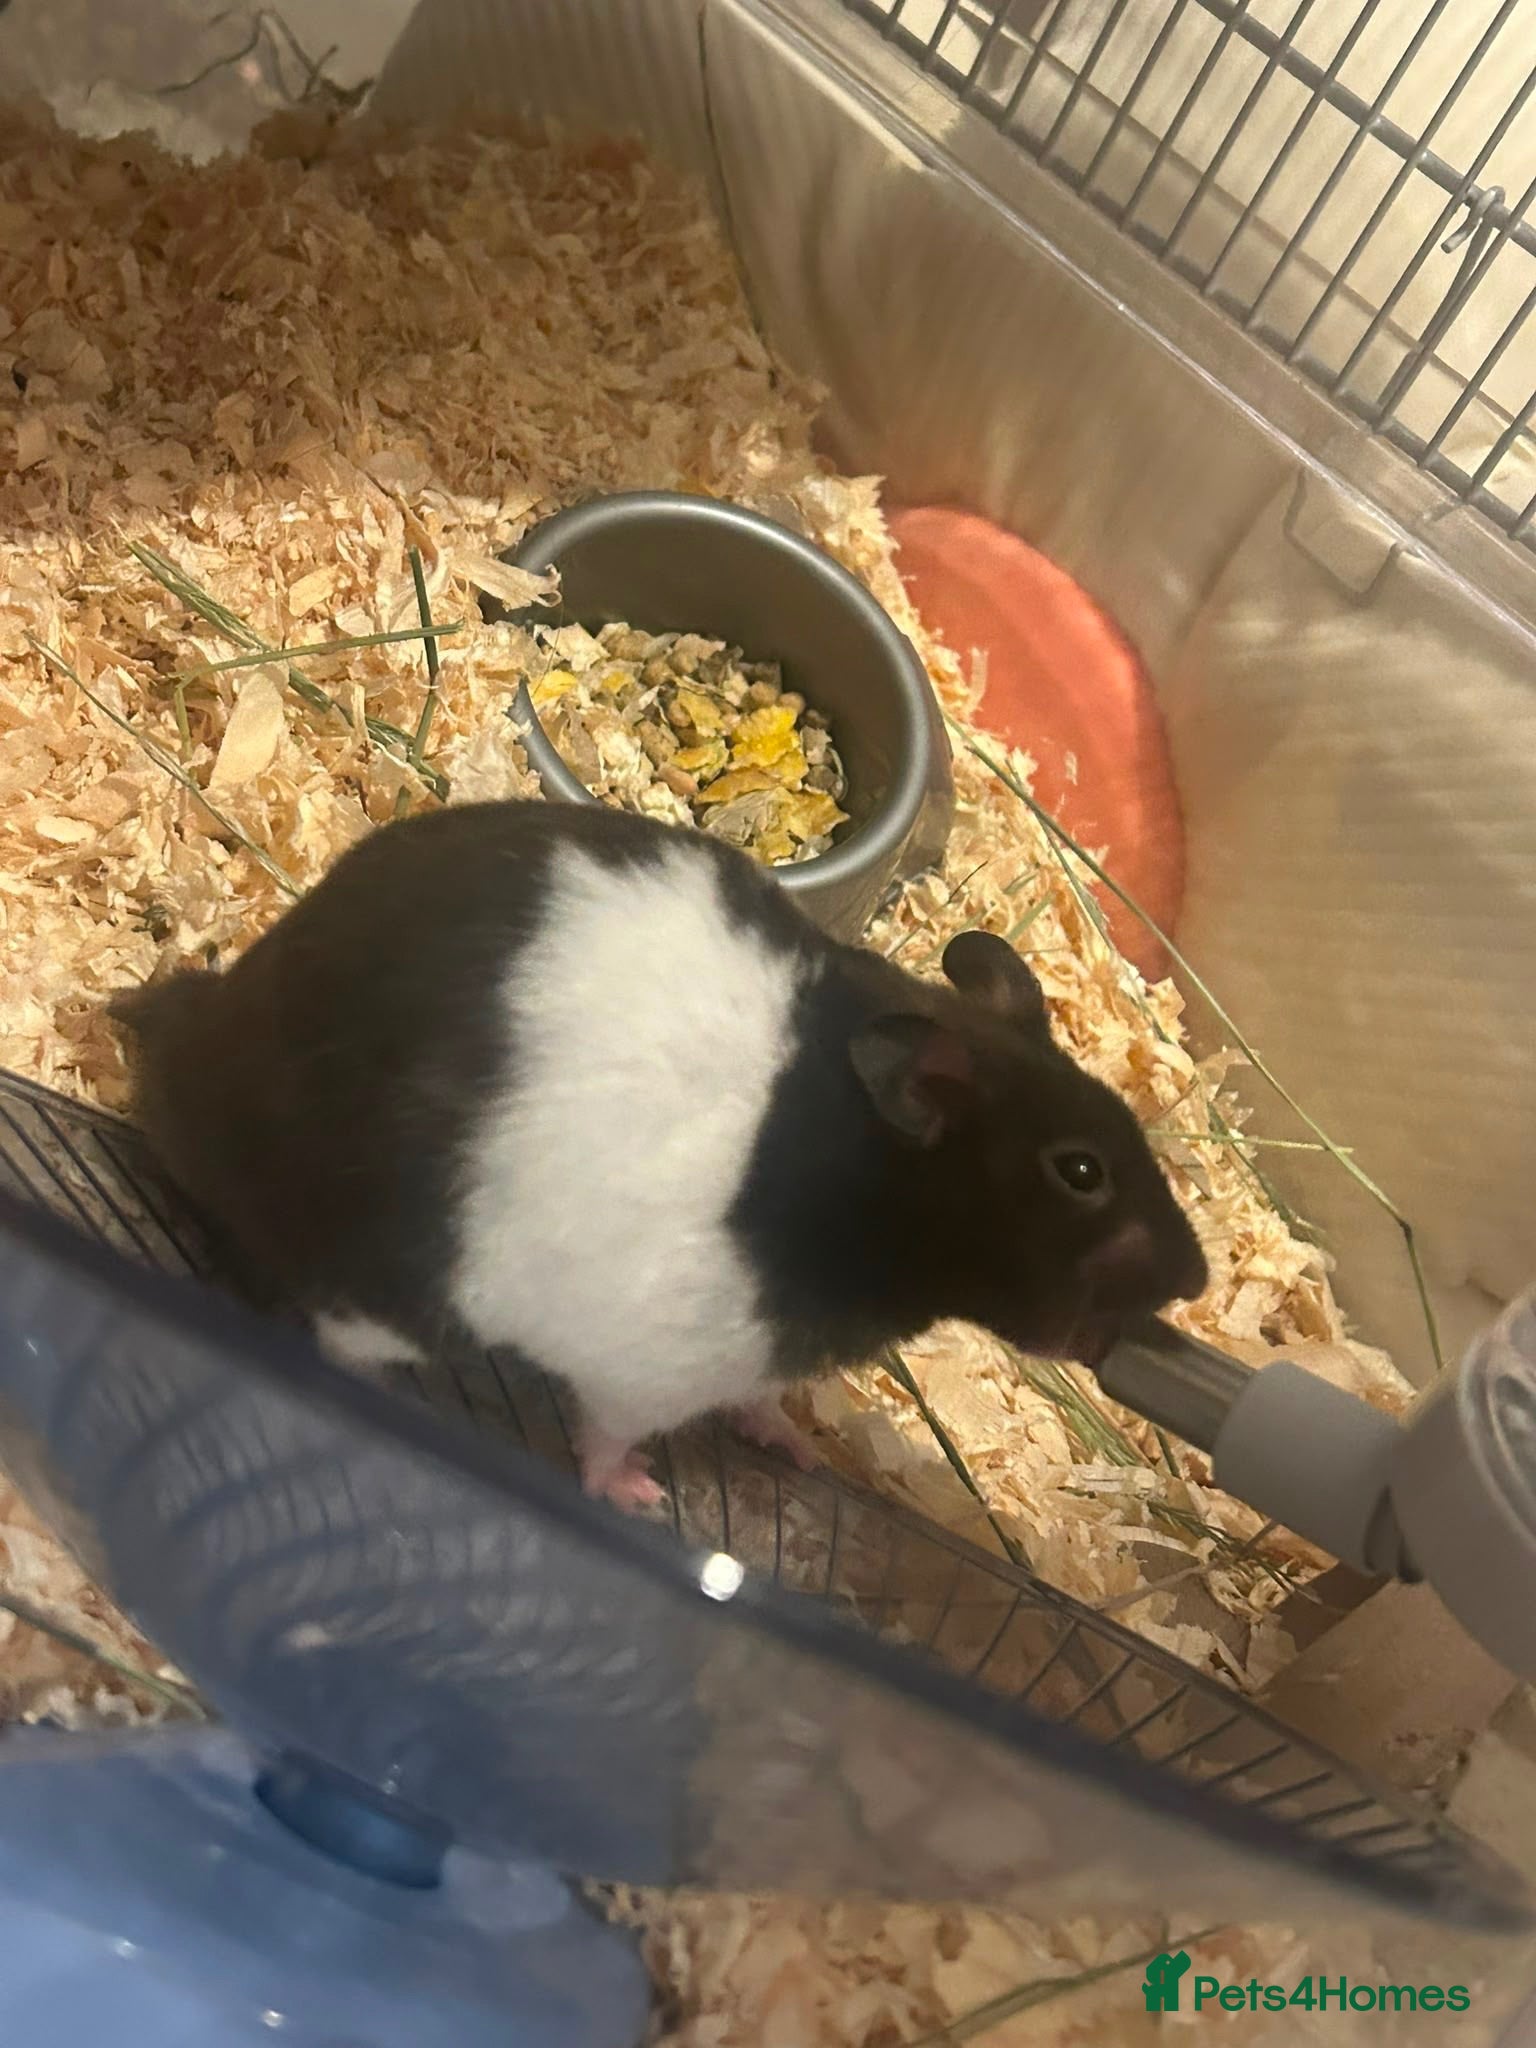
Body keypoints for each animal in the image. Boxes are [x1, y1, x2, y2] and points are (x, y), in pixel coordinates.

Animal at [110, 800, 1207, 1509]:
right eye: (1079, 1171)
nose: (1195, 1278)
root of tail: (189, 1062)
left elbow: (764, 1402)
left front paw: (803, 1453)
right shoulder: (652, 1365)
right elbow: (610, 1430)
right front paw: (638, 1493)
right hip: (381, 1285)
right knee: (343, 1351)